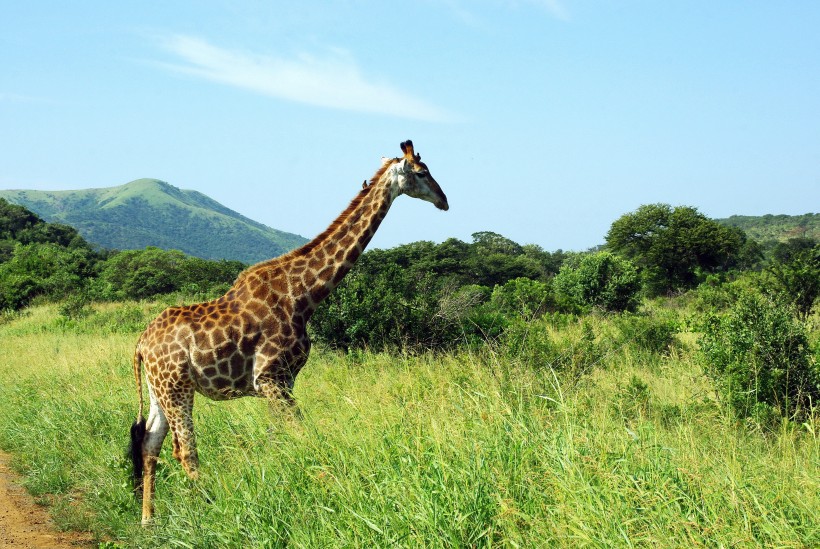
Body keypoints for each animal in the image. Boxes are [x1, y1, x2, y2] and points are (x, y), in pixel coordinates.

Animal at [130, 140, 448, 524]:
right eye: (422, 172)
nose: (445, 201)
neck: (304, 295)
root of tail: (141, 344)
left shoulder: (283, 382)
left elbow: (278, 438)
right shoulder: (272, 378)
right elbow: (301, 434)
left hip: (159, 389)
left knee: (151, 444)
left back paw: (148, 519)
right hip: (177, 387)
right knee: (185, 450)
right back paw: (208, 509)